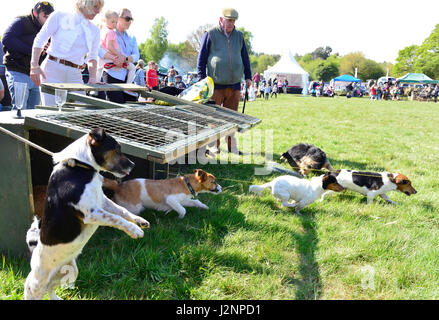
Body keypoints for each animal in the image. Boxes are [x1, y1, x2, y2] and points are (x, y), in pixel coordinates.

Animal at [24, 127, 150, 300]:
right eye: (116, 148)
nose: (133, 165)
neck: (79, 166)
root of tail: (34, 247)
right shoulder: (91, 213)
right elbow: (116, 218)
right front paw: (134, 230)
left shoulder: (102, 201)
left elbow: (122, 211)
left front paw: (139, 221)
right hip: (36, 283)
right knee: (32, 288)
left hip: (70, 272)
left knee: (50, 288)